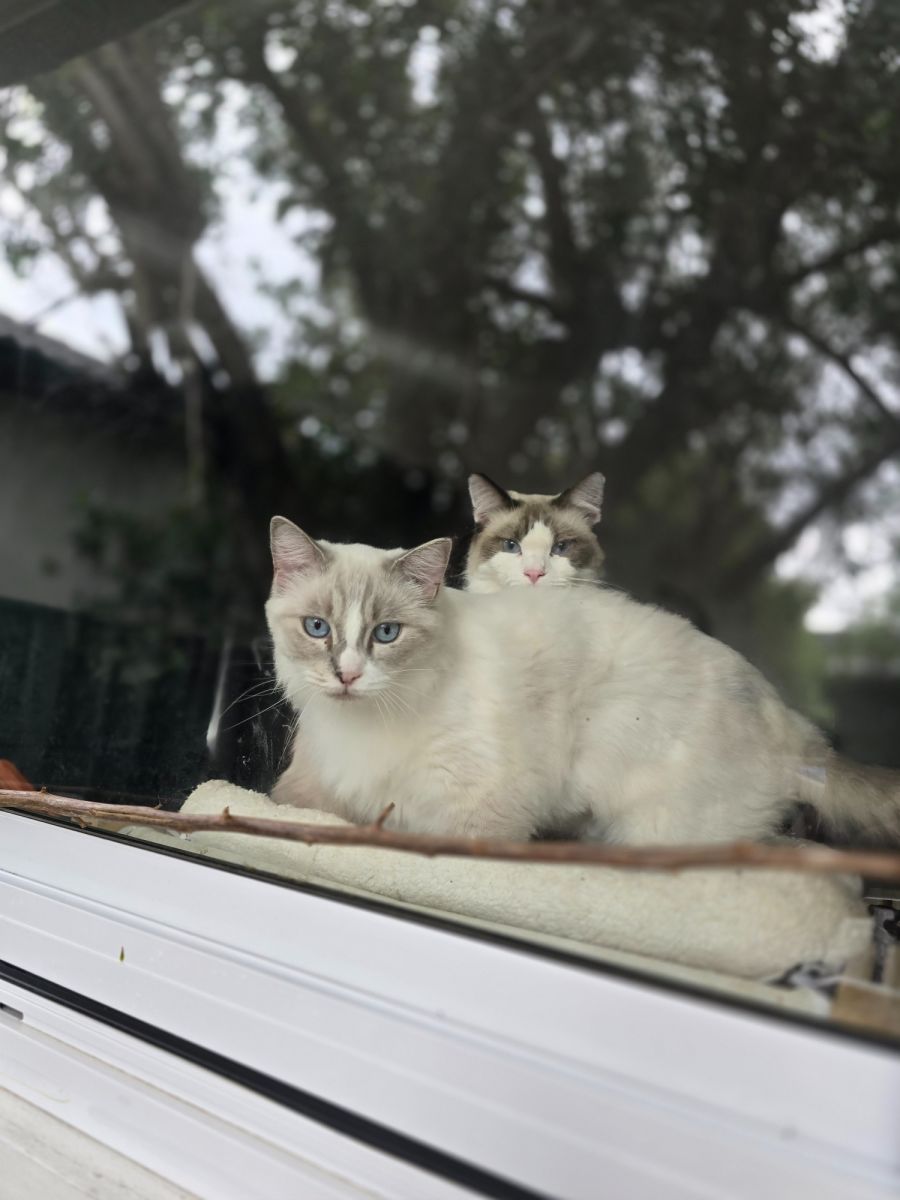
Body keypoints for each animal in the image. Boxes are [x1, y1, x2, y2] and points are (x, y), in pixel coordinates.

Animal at [266, 518, 900, 846]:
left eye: (387, 633)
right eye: (318, 628)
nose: (347, 674)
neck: (361, 723)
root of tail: (793, 726)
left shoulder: (475, 814)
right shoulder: (319, 787)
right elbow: (287, 799)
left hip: (652, 831)